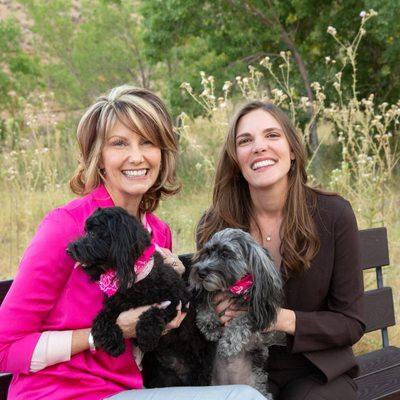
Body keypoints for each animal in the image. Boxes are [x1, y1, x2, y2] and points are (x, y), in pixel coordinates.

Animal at [68, 206, 212, 388]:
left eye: (93, 234)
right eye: (85, 231)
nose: (68, 250)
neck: (135, 277)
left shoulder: (177, 301)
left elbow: (154, 312)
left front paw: (146, 337)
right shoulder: (115, 304)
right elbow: (101, 319)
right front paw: (112, 342)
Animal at [189, 227, 282, 398]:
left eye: (226, 254)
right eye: (207, 252)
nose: (200, 272)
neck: (232, 289)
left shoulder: (256, 315)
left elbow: (241, 321)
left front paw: (228, 344)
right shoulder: (210, 295)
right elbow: (205, 305)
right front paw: (210, 326)